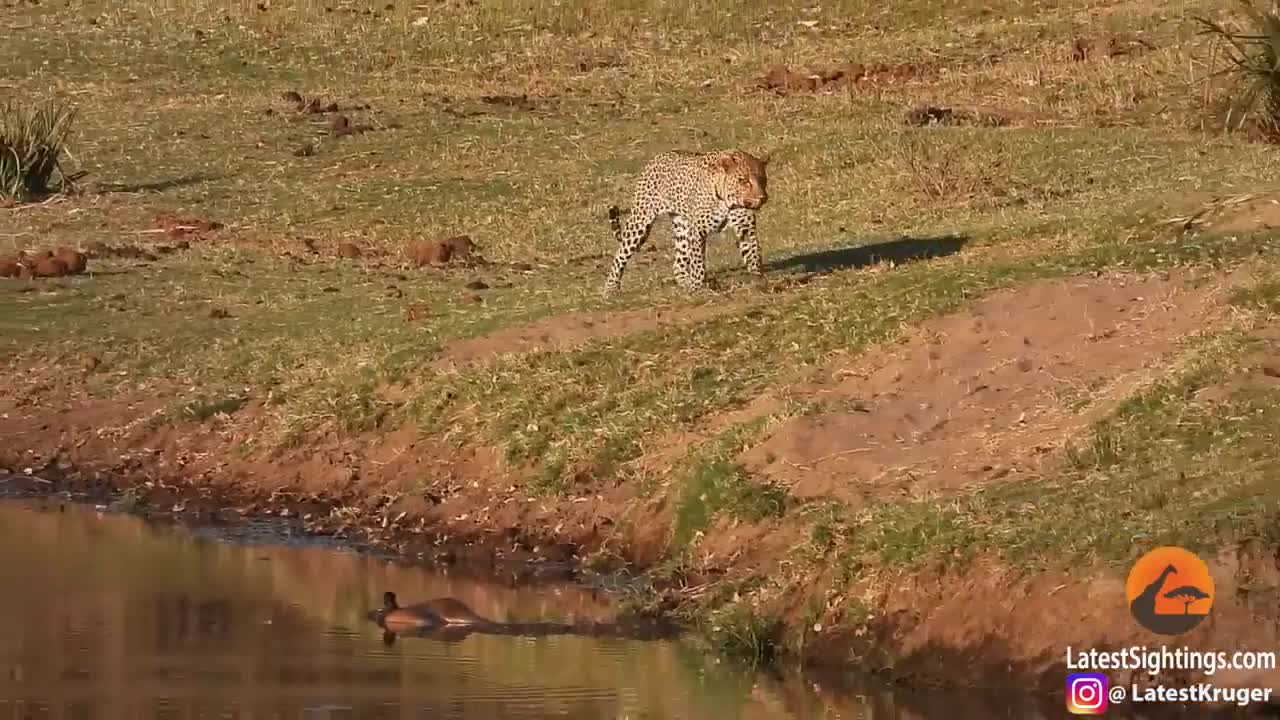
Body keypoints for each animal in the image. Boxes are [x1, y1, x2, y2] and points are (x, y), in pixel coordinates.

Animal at [601, 147, 768, 293]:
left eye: (763, 179)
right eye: (744, 181)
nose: (762, 198)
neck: (729, 202)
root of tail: (657, 158)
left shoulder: (746, 228)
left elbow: (753, 253)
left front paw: (758, 279)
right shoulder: (698, 231)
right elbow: (698, 262)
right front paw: (697, 287)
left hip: (682, 226)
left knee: (678, 263)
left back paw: (685, 282)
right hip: (640, 220)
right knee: (621, 254)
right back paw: (610, 288)